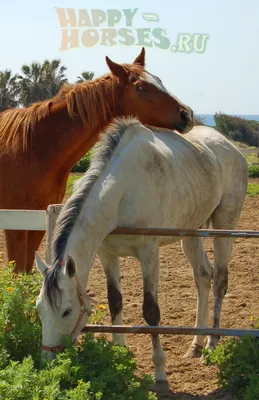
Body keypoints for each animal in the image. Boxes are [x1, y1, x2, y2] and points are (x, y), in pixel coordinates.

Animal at [0, 47, 194, 272]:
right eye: (139, 87)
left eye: (158, 80)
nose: (187, 114)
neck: (32, 147)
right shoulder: (15, 224)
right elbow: (18, 271)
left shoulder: (38, 217)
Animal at [35, 116, 249, 390]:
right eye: (39, 308)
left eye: (67, 311)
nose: (48, 360)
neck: (123, 190)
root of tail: (230, 146)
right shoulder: (107, 254)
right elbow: (115, 301)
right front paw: (119, 354)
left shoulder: (149, 255)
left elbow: (151, 312)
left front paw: (160, 374)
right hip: (191, 233)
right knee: (203, 276)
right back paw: (196, 344)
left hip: (224, 225)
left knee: (220, 279)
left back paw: (211, 343)